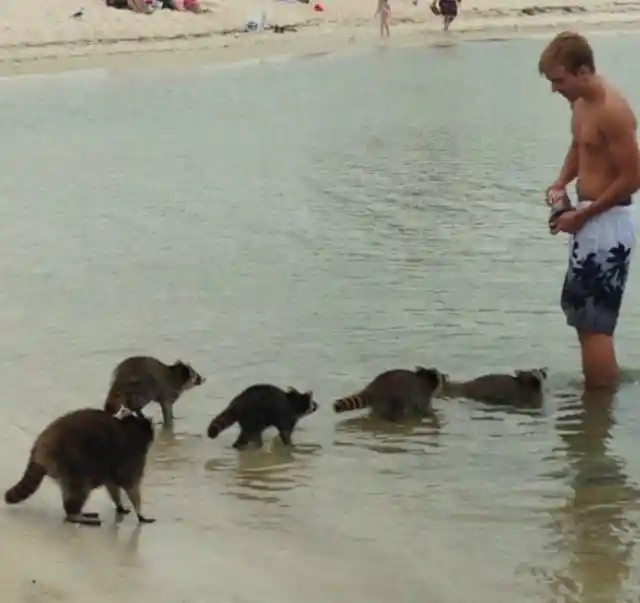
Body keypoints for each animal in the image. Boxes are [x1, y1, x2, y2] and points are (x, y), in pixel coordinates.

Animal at [4, 406, 156, 528]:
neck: (132, 426)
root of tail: (41, 446)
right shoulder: (132, 458)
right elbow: (132, 486)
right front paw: (140, 512)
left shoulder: (113, 468)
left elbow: (112, 485)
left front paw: (119, 503)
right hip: (72, 462)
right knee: (80, 490)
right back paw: (74, 514)